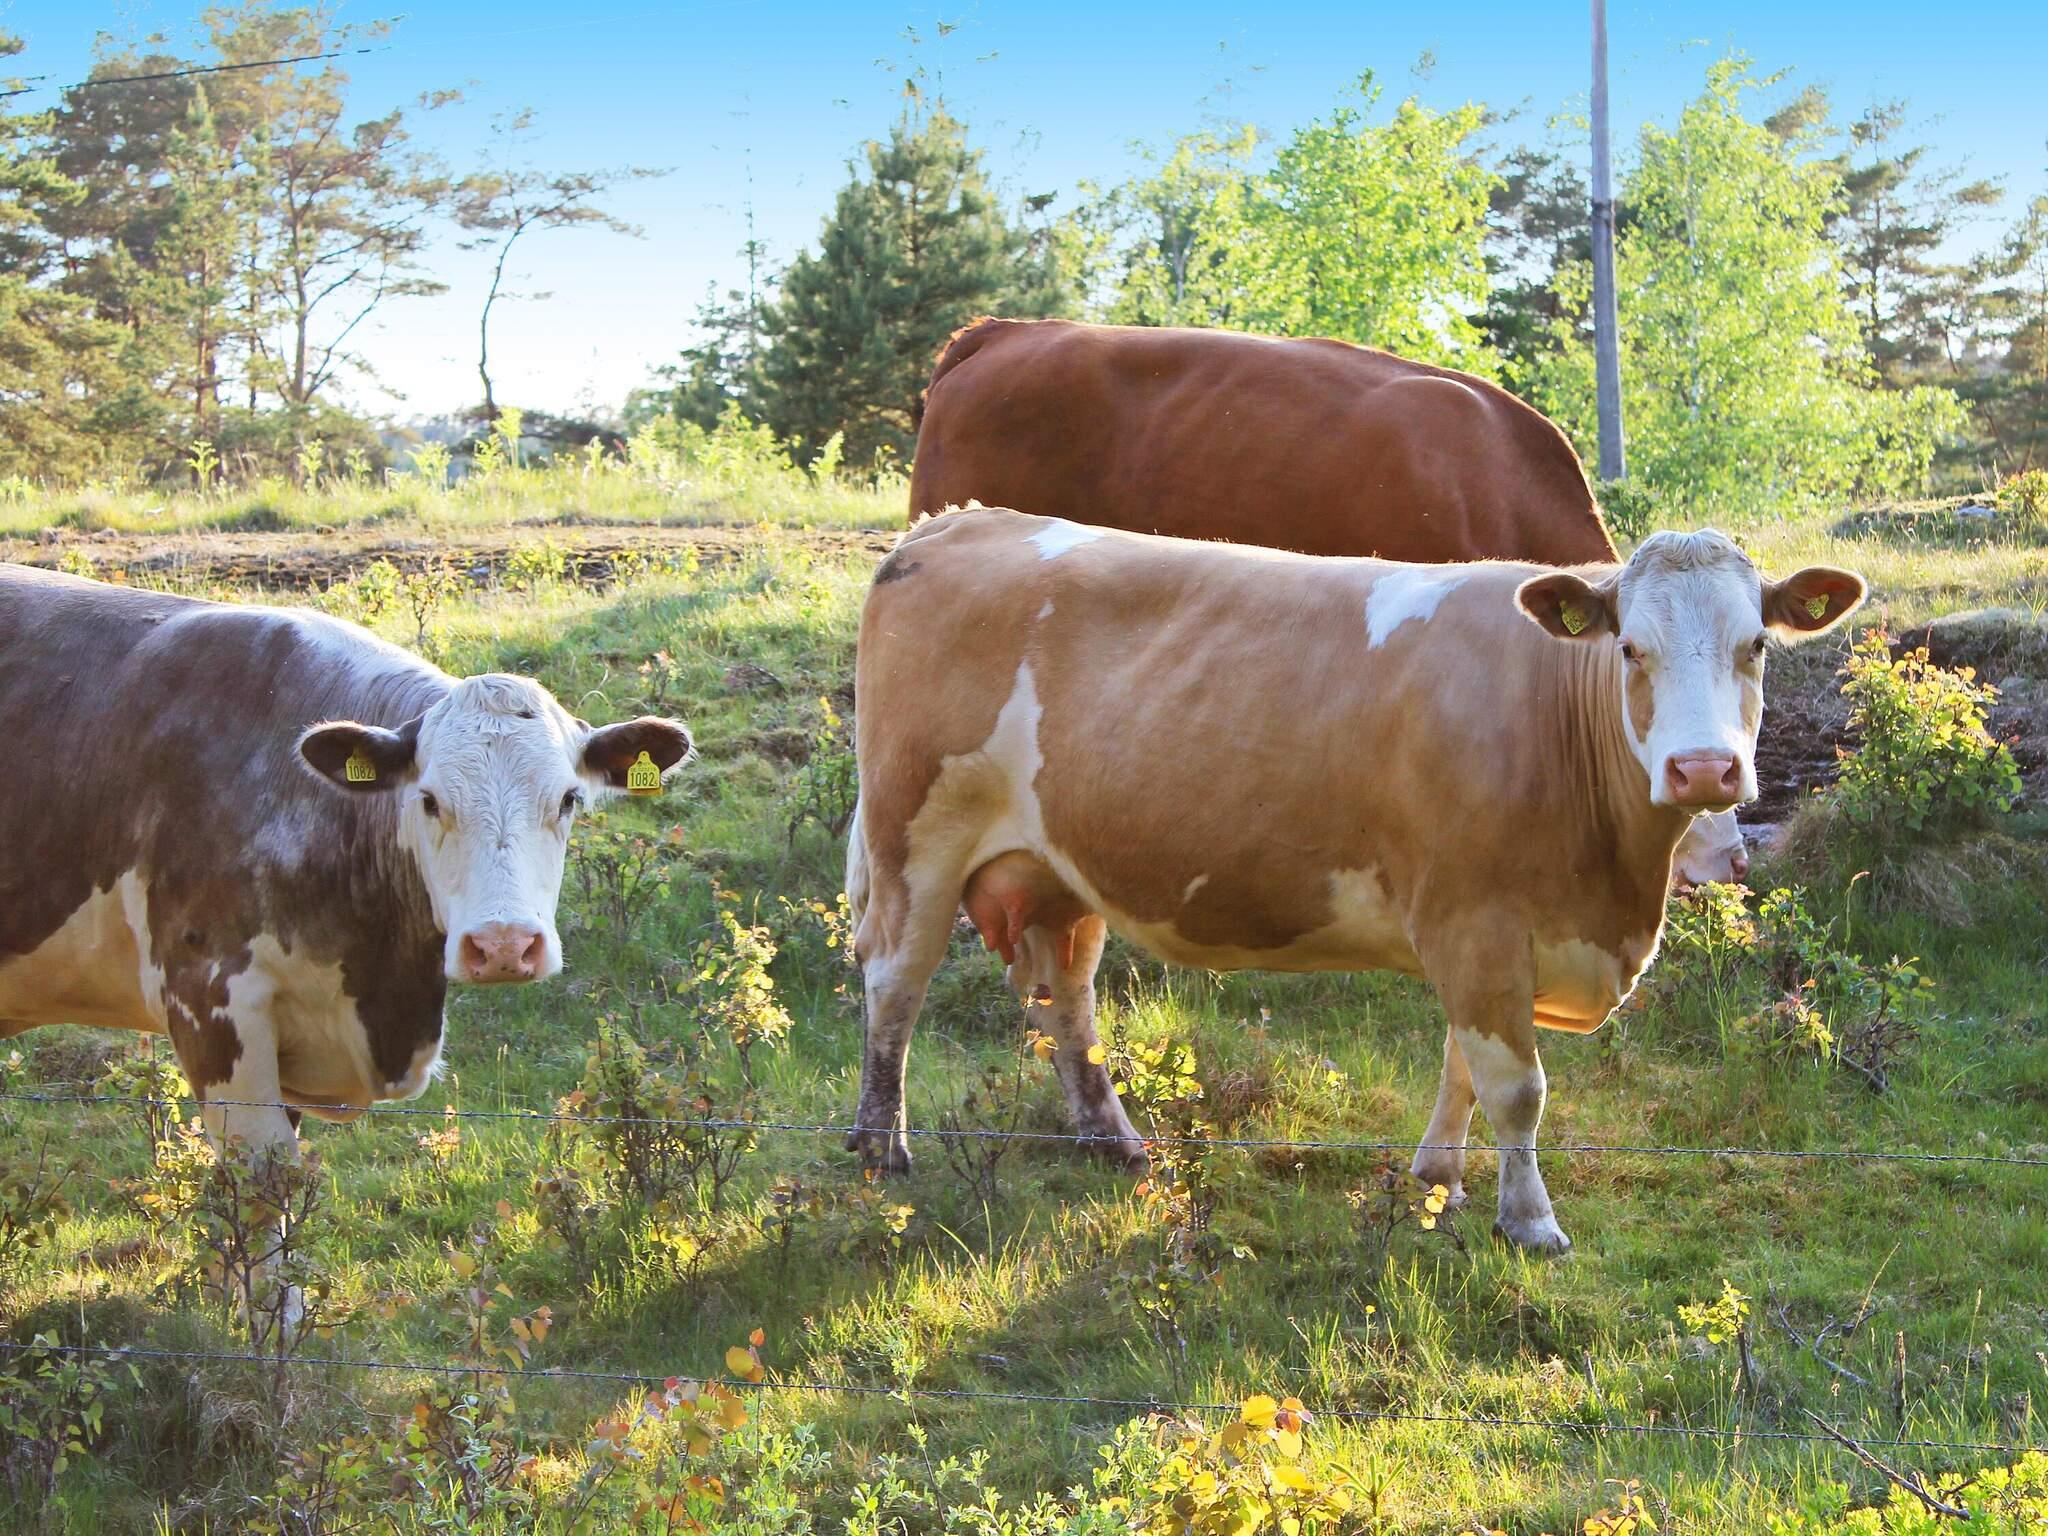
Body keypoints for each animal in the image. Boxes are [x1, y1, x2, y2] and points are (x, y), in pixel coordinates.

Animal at [845, 510, 1863, 1252]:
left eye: (1755, 646)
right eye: (1628, 650)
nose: (1704, 770)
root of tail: (957, 524)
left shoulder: (1493, 929)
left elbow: (1463, 1065)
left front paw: (1439, 1178)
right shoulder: (1475, 917)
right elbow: (1516, 1086)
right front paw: (1530, 1221)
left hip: (1063, 867)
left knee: (1066, 998)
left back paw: (1115, 1141)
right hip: (914, 835)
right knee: (895, 985)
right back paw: (880, 1146)